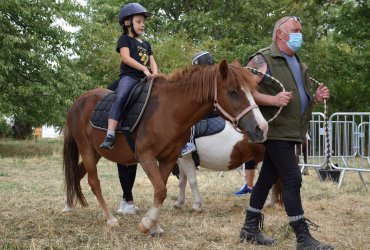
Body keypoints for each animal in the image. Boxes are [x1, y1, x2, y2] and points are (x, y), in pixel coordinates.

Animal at [62, 60, 268, 236]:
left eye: (252, 91)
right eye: (233, 92)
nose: (261, 127)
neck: (169, 111)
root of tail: (77, 103)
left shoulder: (169, 158)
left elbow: (160, 190)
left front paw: (154, 226)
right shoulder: (147, 157)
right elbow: (162, 190)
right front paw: (147, 224)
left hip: (95, 152)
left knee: (77, 173)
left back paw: (69, 205)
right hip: (86, 149)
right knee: (94, 182)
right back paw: (110, 218)